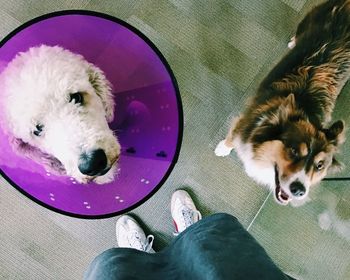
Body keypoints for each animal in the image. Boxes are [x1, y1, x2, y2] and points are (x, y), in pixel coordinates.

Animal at [215, 0, 348, 206]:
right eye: (293, 151)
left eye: (319, 165)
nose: (299, 190)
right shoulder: (244, 122)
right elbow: (232, 137)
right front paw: (222, 148)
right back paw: (293, 41)